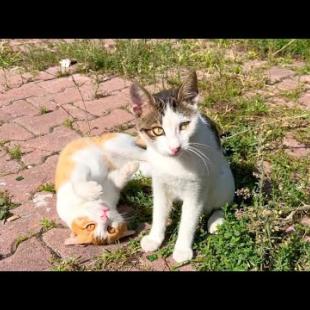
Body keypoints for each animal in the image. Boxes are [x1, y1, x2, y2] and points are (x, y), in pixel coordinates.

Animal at [128, 71, 235, 262]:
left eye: (184, 125)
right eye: (158, 130)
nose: (175, 147)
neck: (175, 162)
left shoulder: (197, 189)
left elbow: (188, 220)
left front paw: (182, 250)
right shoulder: (159, 183)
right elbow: (159, 212)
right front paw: (155, 238)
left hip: (224, 181)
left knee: (223, 203)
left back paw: (216, 220)